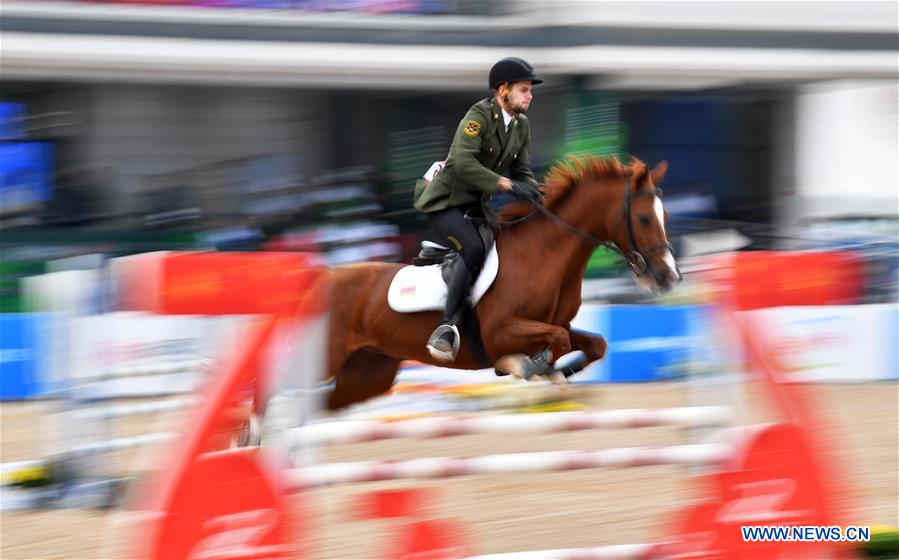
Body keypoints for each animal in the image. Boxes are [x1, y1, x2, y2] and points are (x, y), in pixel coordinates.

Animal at [326, 155, 680, 410]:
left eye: (666, 217)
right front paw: (523, 366)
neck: (542, 255)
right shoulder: (501, 332)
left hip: (367, 375)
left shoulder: (559, 324)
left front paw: (555, 374)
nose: (668, 277)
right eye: (643, 218)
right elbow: (555, 344)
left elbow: (594, 344)